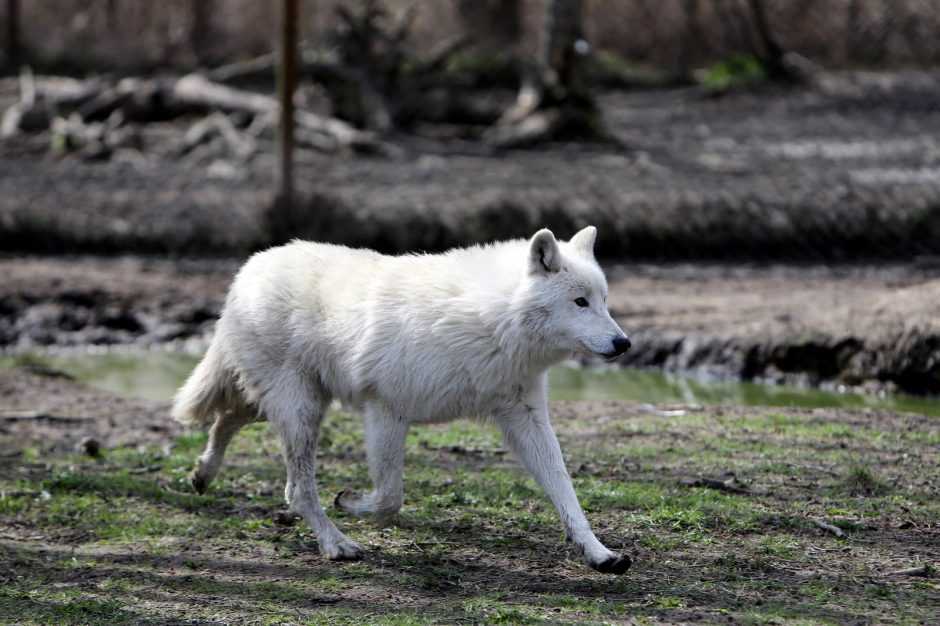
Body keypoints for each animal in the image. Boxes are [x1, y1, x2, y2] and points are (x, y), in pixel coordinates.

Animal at [173, 227, 636, 572]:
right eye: (580, 302)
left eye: (604, 301)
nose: (624, 343)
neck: (492, 320)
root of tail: (252, 266)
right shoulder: (386, 411)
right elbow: (390, 498)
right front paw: (350, 502)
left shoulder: (526, 417)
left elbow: (565, 490)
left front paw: (599, 554)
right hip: (300, 409)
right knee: (298, 487)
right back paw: (336, 544)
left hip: (283, 404)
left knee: (229, 421)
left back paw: (205, 475)